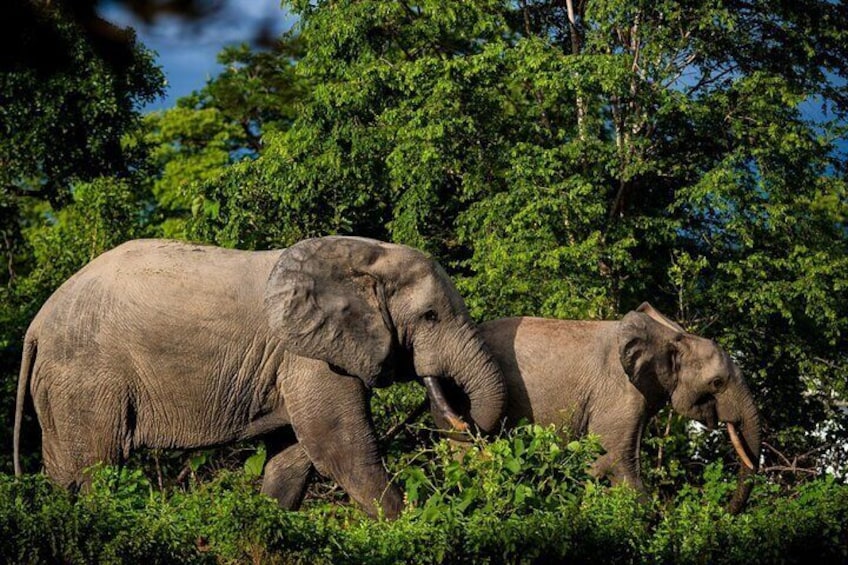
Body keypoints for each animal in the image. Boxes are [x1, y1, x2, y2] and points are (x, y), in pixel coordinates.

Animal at [13, 236, 506, 516]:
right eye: (429, 317)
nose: (460, 415)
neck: (366, 256)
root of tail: (35, 326)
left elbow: (293, 455)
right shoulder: (307, 354)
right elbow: (339, 446)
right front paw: (411, 525)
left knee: (64, 471)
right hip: (85, 377)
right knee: (97, 466)